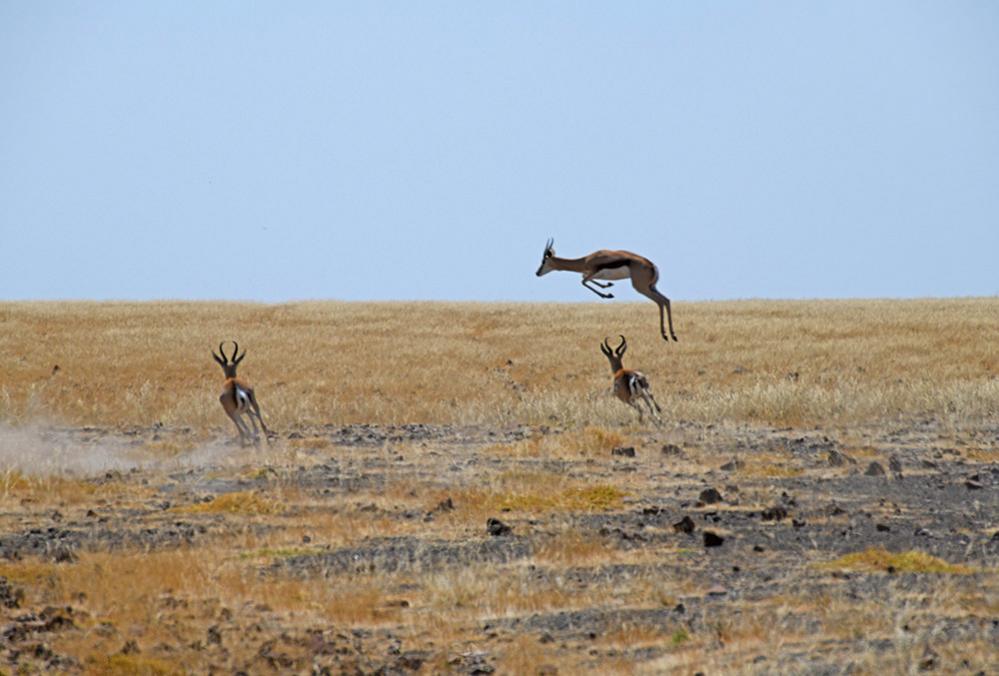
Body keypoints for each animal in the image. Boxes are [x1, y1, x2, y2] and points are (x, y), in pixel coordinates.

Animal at [532, 239, 680, 344]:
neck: (586, 260)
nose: (537, 273)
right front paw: (608, 287)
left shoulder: (592, 272)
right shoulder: (592, 274)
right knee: (666, 300)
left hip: (641, 288)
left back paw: (665, 335)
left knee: (660, 302)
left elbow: (583, 281)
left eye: (543, 260)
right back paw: (672, 335)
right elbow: (586, 280)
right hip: (651, 287)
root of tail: (651, 265)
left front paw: (607, 295)